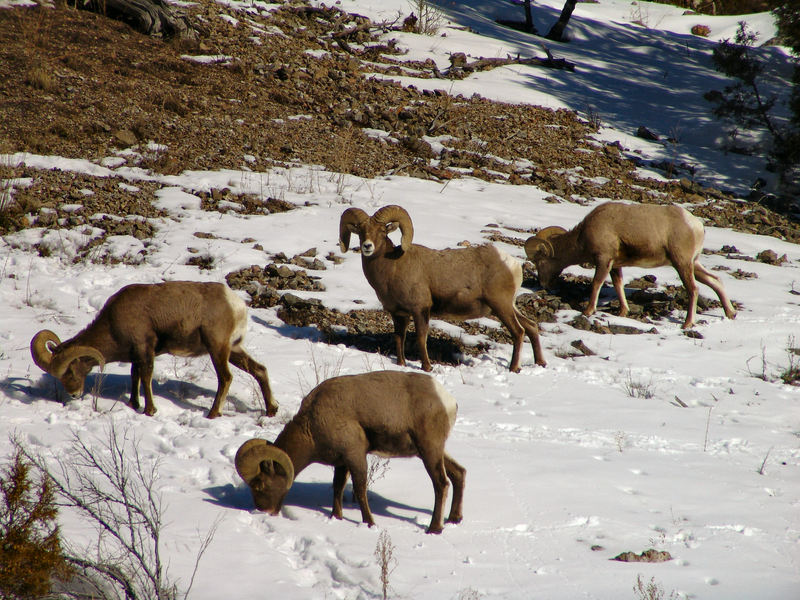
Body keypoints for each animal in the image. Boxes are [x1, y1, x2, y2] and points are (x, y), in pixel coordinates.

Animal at [31, 280, 276, 418]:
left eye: (70, 371)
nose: (73, 394)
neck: (112, 324)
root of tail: (237, 305)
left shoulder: (144, 349)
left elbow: (146, 377)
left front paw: (149, 410)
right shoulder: (136, 356)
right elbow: (135, 376)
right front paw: (133, 404)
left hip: (217, 349)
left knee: (225, 378)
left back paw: (213, 414)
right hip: (234, 350)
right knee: (260, 370)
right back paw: (272, 410)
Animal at [234, 370, 466, 536]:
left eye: (259, 485)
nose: (263, 511)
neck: (312, 424)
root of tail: (448, 401)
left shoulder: (355, 457)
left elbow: (360, 490)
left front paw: (370, 523)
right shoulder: (341, 462)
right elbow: (337, 487)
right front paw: (336, 517)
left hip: (429, 451)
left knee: (441, 484)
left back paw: (434, 529)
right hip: (431, 452)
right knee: (459, 473)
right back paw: (454, 519)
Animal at [340, 205, 548, 370]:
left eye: (383, 231)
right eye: (360, 231)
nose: (367, 246)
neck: (393, 267)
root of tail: (512, 264)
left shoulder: (420, 310)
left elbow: (421, 338)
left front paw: (427, 367)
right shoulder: (398, 314)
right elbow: (399, 338)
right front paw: (401, 364)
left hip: (501, 306)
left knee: (518, 332)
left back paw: (514, 368)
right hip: (507, 307)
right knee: (531, 326)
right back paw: (540, 363)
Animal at [524, 204, 736, 330]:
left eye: (539, 261)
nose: (543, 284)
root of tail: (696, 226)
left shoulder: (603, 260)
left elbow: (596, 284)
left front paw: (588, 311)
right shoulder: (614, 265)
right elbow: (618, 285)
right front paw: (622, 312)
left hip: (682, 263)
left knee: (693, 289)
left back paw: (687, 324)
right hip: (693, 264)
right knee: (714, 280)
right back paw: (730, 313)